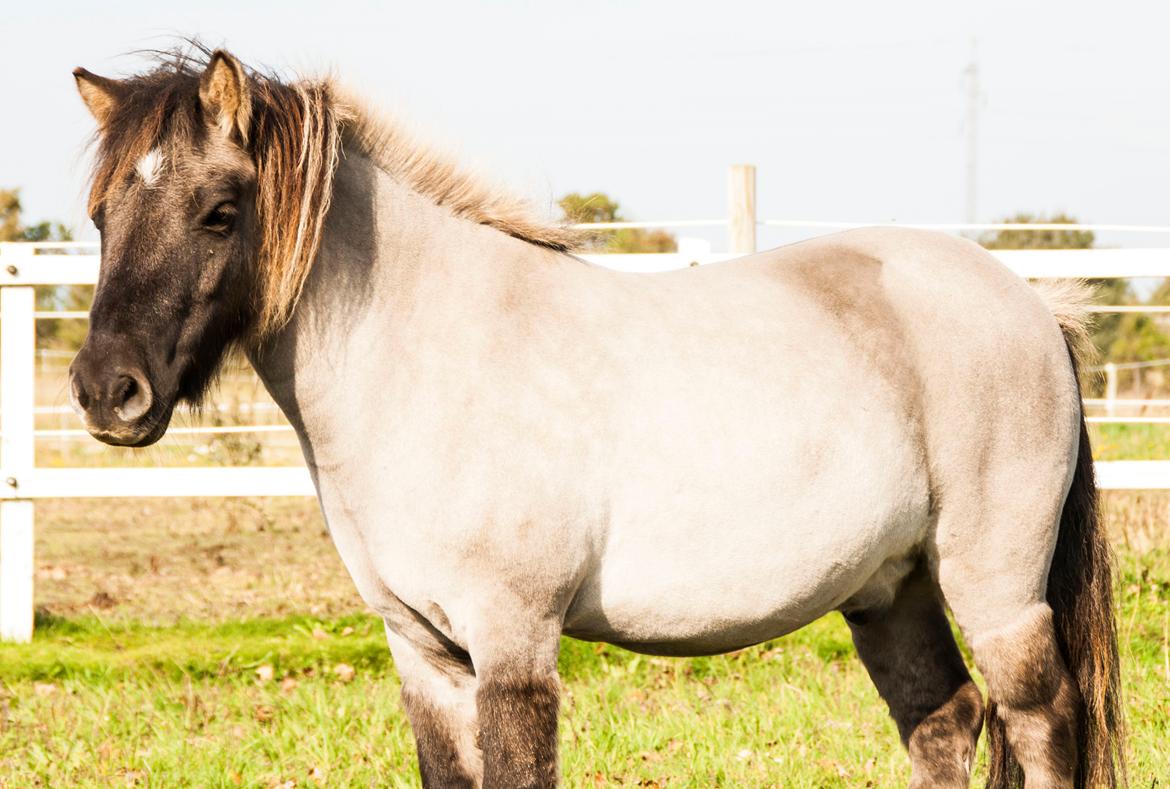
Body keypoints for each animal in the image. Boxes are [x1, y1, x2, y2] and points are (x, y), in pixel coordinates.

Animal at [68, 47, 1124, 788]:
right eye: (101, 214)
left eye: (219, 210)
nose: (106, 390)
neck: (428, 350)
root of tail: (1035, 306)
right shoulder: (424, 656)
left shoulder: (515, 645)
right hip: (889, 587)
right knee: (944, 720)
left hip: (997, 589)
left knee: (1042, 724)